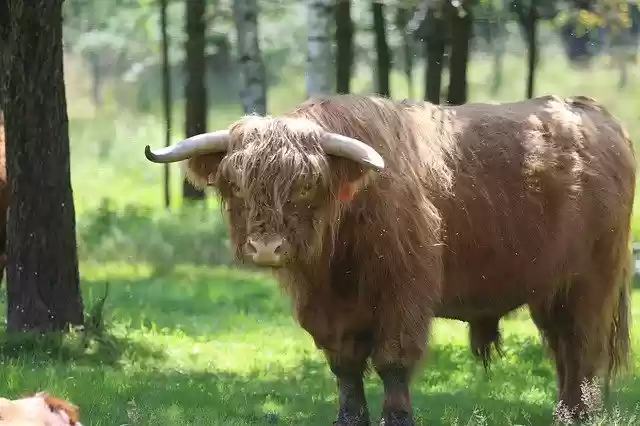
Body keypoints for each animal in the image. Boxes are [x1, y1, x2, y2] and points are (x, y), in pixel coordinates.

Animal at [144, 94, 635, 425]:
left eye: (306, 185)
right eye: (237, 186)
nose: (266, 248)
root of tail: (594, 113)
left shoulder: (405, 292)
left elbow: (393, 360)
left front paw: (397, 417)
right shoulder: (324, 306)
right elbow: (344, 365)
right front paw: (349, 417)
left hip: (592, 281)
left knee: (583, 345)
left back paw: (579, 413)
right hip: (549, 289)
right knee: (562, 348)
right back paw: (565, 413)